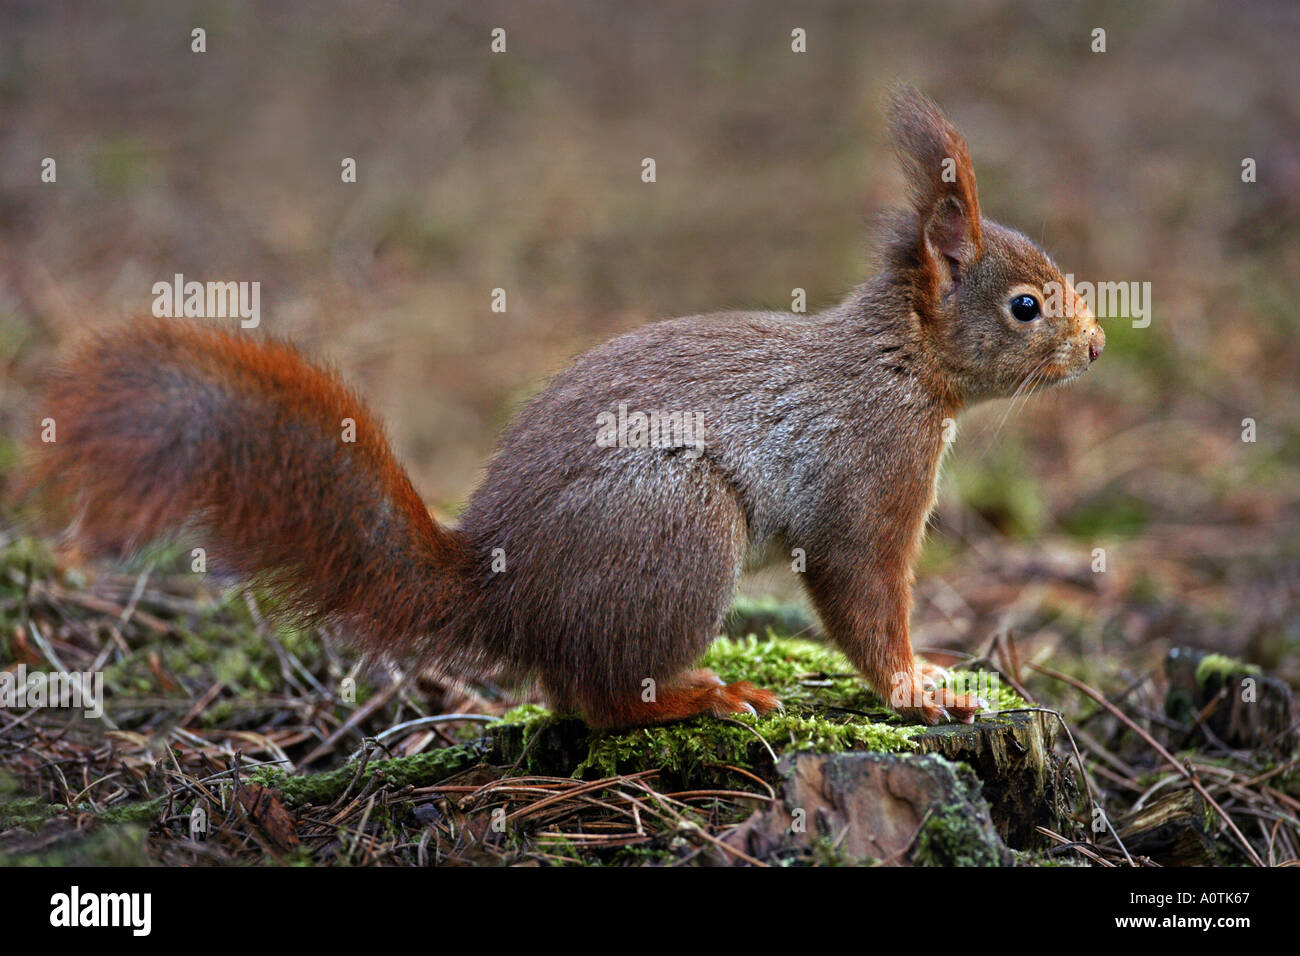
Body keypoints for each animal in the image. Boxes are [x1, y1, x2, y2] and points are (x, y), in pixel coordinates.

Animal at [35, 91, 1102, 733]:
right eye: (1026, 306)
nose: (1095, 347)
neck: (903, 363)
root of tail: (504, 593)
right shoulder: (867, 486)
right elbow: (863, 597)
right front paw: (924, 688)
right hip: (678, 527)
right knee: (603, 699)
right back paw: (703, 694)